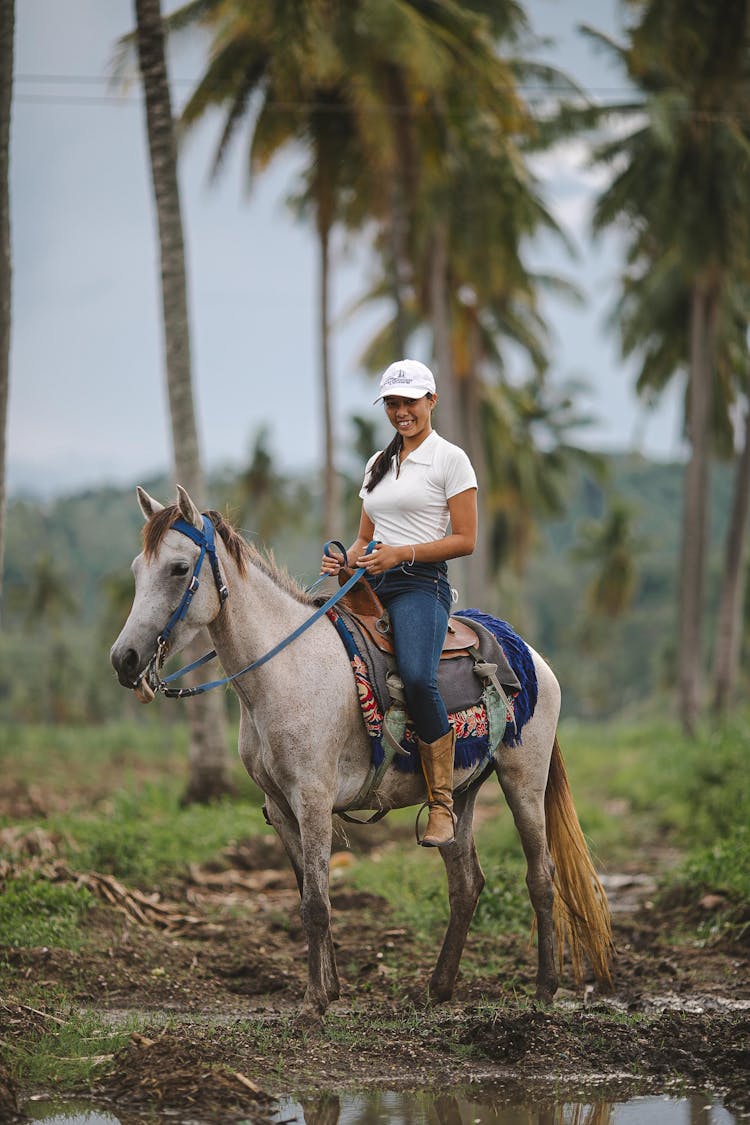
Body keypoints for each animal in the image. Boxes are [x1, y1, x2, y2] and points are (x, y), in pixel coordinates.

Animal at [113, 483, 616, 1021]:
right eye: (137, 570)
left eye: (178, 568)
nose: (123, 659)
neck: (284, 672)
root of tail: (528, 655)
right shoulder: (279, 807)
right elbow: (307, 894)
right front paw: (330, 989)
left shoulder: (313, 800)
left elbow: (316, 904)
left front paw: (314, 1003)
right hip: (459, 791)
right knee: (466, 883)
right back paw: (438, 988)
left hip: (524, 778)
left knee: (541, 876)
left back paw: (544, 989)